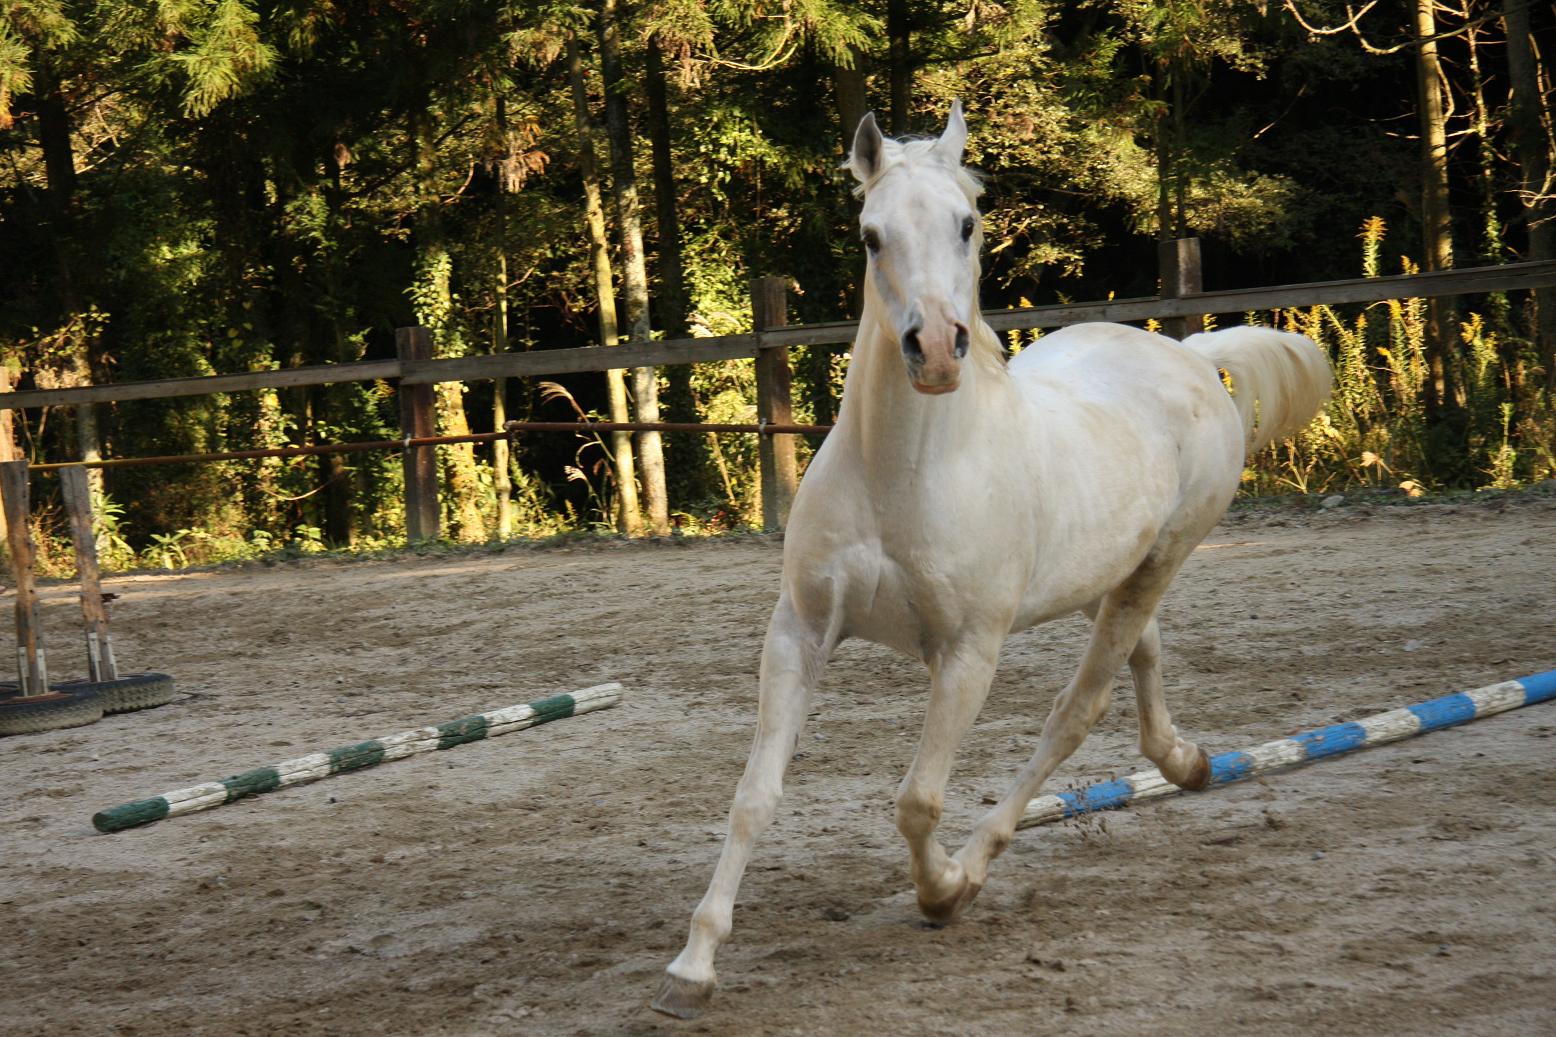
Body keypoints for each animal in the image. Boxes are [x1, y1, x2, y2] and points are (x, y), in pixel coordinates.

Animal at [650, 105, 1331, 1015]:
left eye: (967, 223)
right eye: (870, 235)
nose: (935, 349)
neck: (905, 472)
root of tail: (1189, 358)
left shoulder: (969, 652)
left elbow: (918, 799)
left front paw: (941, 889)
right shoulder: (799, 631)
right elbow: (754, 796)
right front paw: (694, 964)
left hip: (1159, 561)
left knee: (1074, 712)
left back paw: (988, 859)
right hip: (1111, 573)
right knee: (1142, 654)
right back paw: (1185, 763)